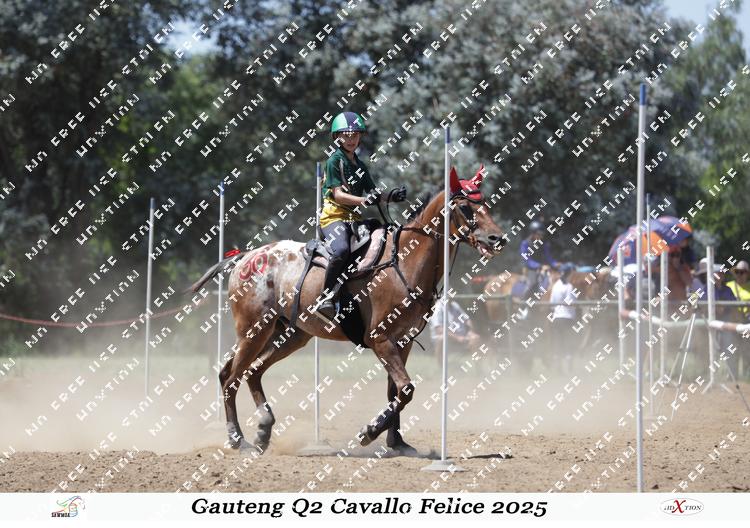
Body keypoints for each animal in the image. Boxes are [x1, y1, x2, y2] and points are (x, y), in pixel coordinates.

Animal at [189, 166, 507, 454]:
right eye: (465, 207)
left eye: (487, 204)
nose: (498, 239)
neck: (404, 261)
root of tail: (245, 257)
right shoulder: (381, 339)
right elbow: (406, 389)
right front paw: (369, 433)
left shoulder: (402, 342)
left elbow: (395, 391)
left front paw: (397, 443)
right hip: (254, 332)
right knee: (231, 379)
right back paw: (238, 439)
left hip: (288, 335)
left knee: (250, 372)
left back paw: (263, 431)